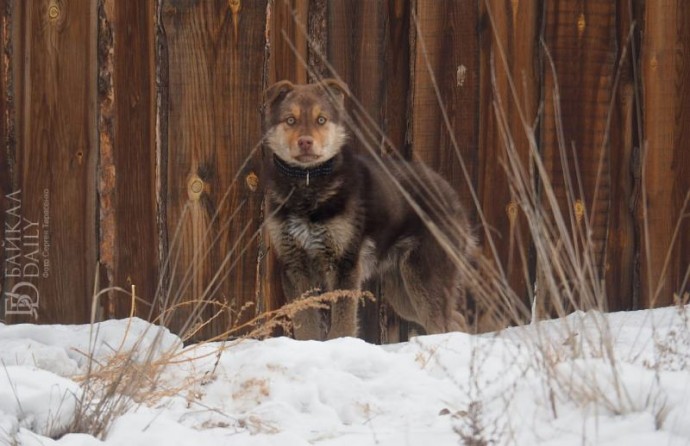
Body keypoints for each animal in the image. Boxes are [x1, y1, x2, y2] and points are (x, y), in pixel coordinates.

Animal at [260, 78, 476, 340]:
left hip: (424, 276)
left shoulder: (344, 263)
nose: (305, 142)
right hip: (402, 291)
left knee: (443, 324)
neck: (308, 183)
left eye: (321, 119)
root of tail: (452, 195)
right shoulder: (295, 265)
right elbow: (306, 322)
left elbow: (342, 323)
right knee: (456, 320)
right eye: (290, 120)